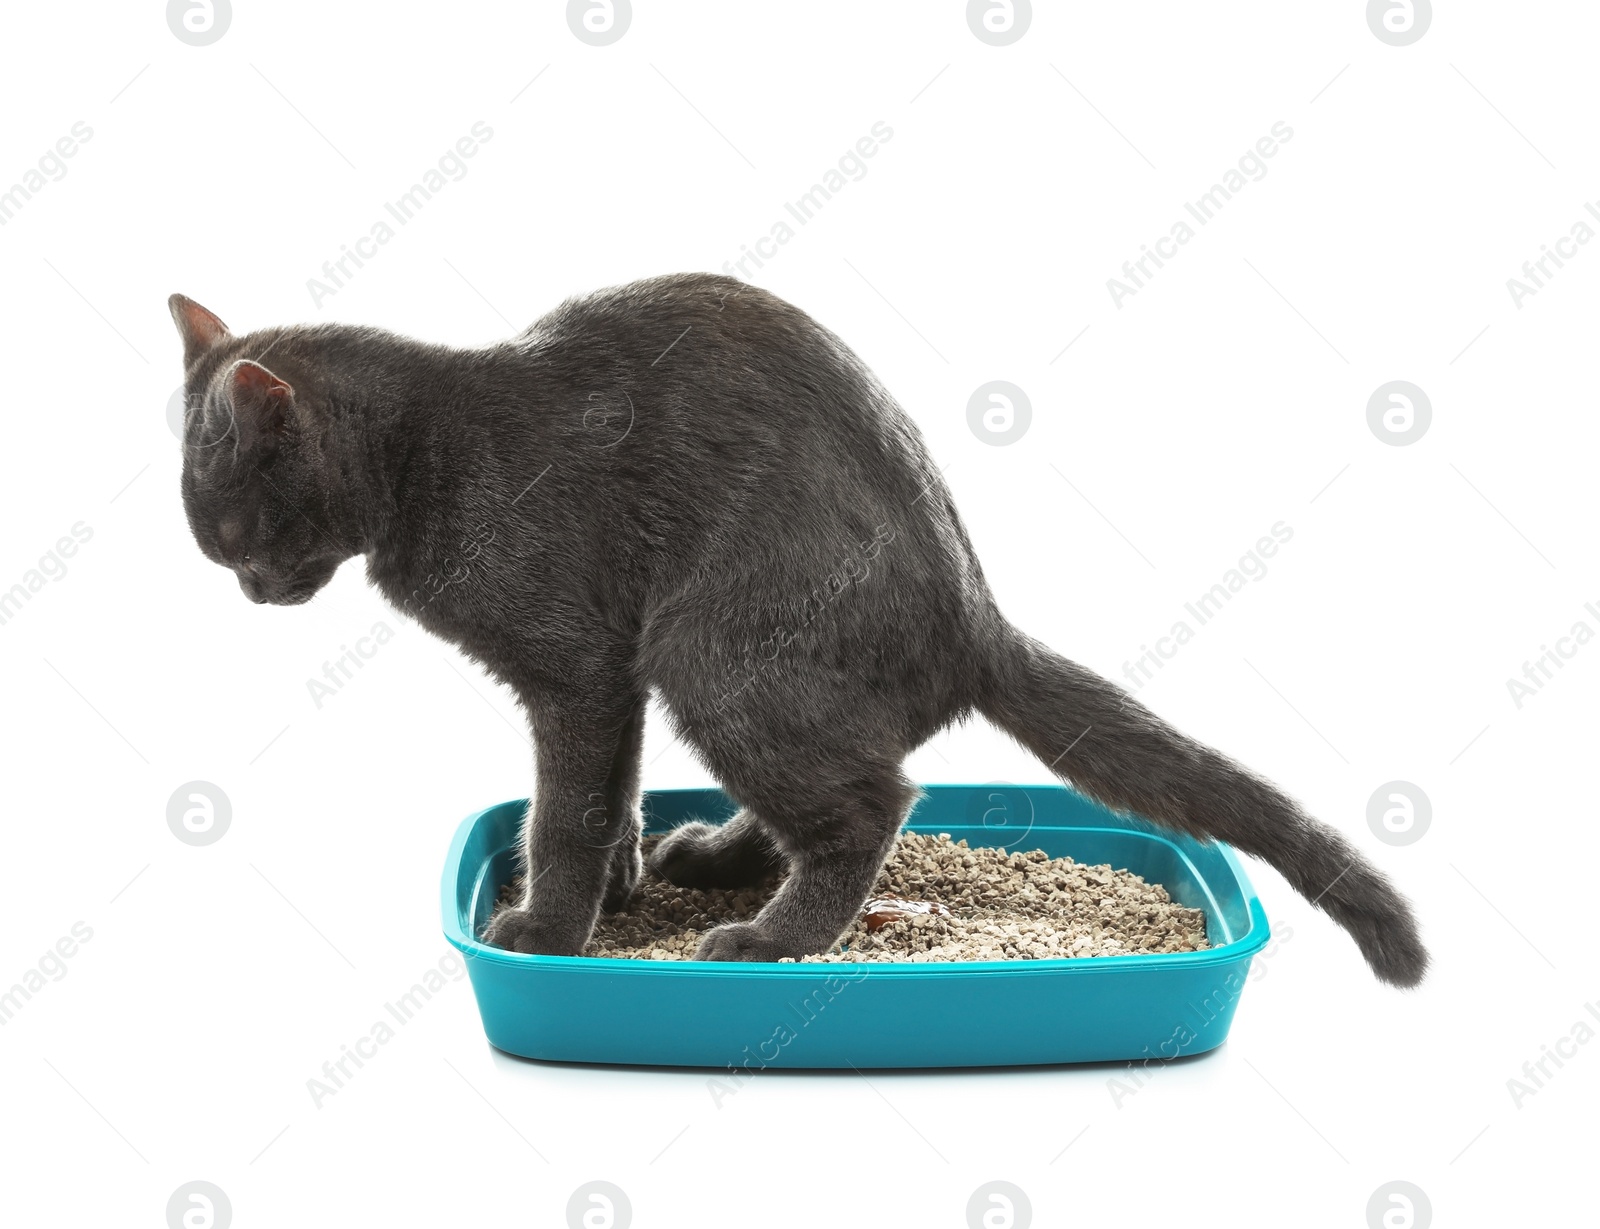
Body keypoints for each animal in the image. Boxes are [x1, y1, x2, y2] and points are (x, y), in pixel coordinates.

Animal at [168, 273, 1433, 985]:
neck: (424, 457)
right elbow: (613, 787)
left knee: (873, 801)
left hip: (711, 651)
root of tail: (972, 615)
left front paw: (547, 923)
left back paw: (766, 939)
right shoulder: (610, 678)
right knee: (845, 783)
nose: (248, 592)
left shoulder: (579, 666)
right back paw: (712, 860)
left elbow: (565, 801)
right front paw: (624, 877)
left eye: (227, 528)